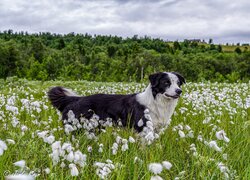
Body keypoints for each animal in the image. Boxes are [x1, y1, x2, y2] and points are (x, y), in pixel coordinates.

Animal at [48, 71, 186, 132]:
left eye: (178, 83)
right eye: (166, 83)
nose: (179, 91)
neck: (157, 101)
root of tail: (76, 98)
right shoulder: (143, 128)